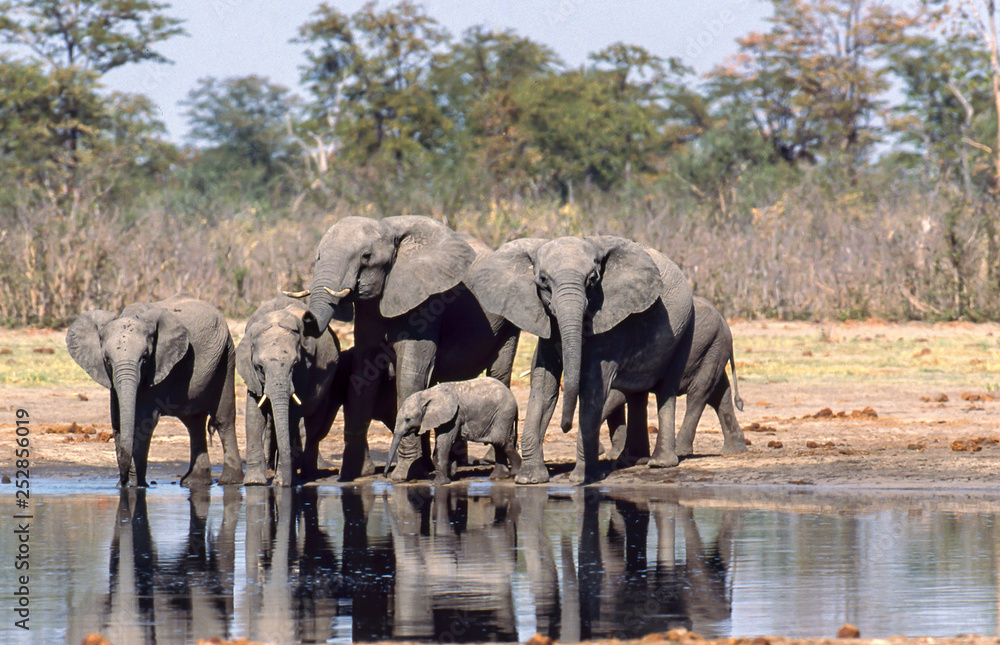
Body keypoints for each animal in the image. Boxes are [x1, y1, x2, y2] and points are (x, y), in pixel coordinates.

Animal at [66, 294, 243, 487]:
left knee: (223, 418)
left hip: (227, 356)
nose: (123, 480)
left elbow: (144, 420)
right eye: (106, 359)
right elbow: (117, 419)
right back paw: (194, 482)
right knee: (193, 422)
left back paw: (230, 481)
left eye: (145, 358)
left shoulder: (157, 366)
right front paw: (126, 485)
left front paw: (135, 486)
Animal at [237, 295, 342, 487]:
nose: (281, 483)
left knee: (314, 424)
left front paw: (283, 481)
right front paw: (254, 483)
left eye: (294, 365)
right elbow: (254, 415)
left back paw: (308, 474)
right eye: (260, 367)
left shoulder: (305, 370)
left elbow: (293, 414)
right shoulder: (251, 374)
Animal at [386, 377, 521, 484]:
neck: (427, 393)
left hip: (503, 413)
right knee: (499, 442)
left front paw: (440, 483)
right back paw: (498, 477)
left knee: (499, 440)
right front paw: (450, 475)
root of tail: (512, 395)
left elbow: (444, 441)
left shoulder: (454, 416)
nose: (385, 476)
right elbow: (444, 443)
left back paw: (515, 473)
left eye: (408, 419)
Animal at [468, 237, 694, 484]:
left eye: (593, 279)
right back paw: (632, 461)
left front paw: (582, 479)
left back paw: (660, 463)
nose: (565, 427)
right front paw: (529, 479)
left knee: (666, 389)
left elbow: (593, 387)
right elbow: (544, 387)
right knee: (638, 393)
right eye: (543, 279)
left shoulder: (610, 320)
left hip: (685, 329)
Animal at [605, 295, 746, 464]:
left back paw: (681, 450)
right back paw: (735, 449)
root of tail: (724, 321)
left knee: (698, 394)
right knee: (719, 394)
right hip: (714, 350)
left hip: (713, 347)